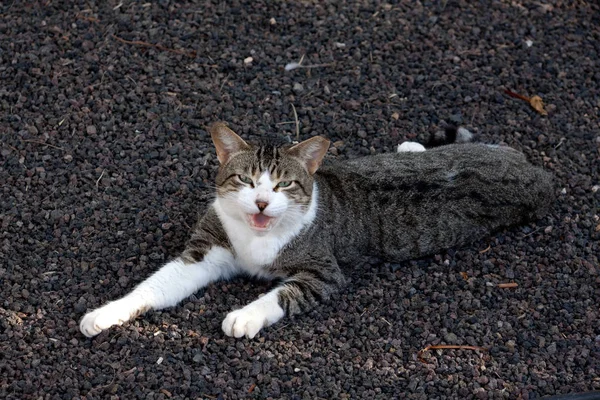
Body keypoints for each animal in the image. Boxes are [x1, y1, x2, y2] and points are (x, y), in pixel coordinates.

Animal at [78, 121, 552, 338]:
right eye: (246, 181)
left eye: (284, 184)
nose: (261, 202)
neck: (258, 237)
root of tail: (533, 173)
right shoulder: (207, 249)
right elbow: (158, 285)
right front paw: (107, 313)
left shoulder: (323, 272)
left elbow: (280, 294)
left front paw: (244, 316)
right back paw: (411, 146)